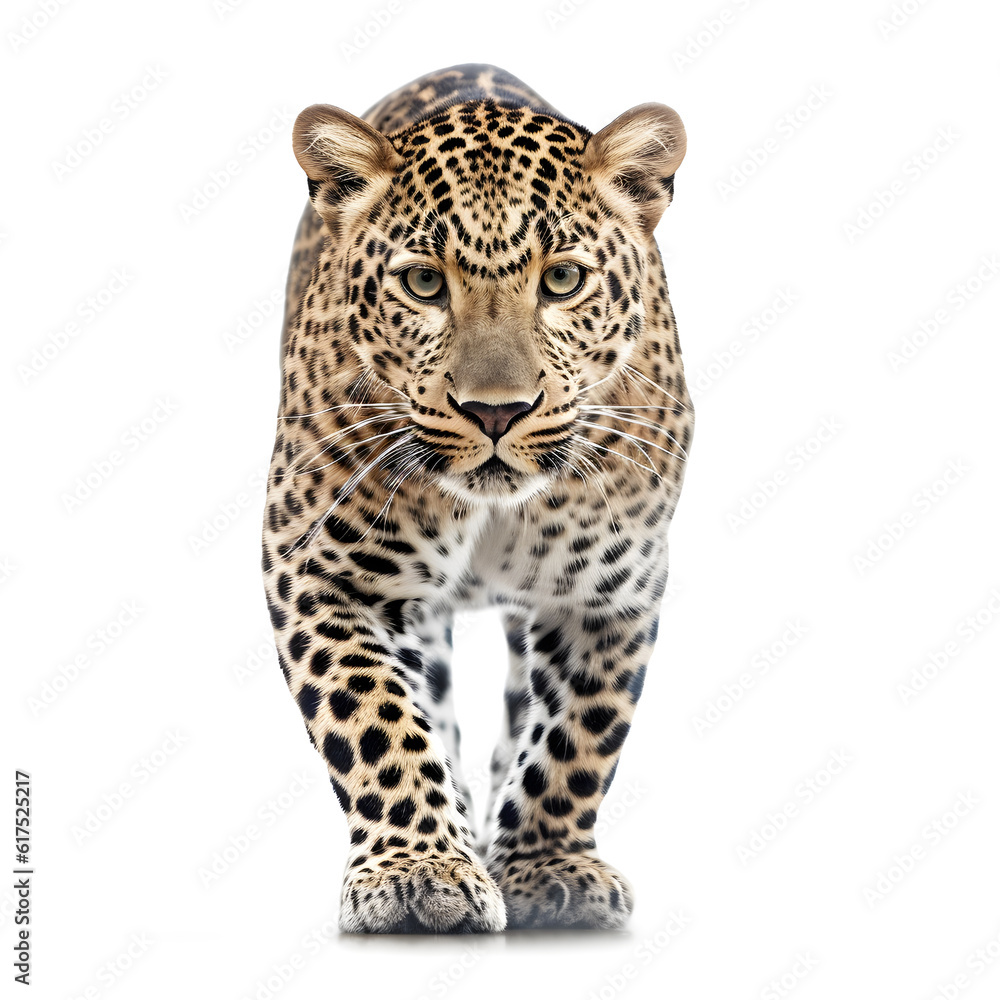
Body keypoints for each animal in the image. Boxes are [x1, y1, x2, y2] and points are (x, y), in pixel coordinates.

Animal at [261, 63, 692, 933]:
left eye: (562, 279)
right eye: (424, 283)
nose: (497, 411)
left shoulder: (611, 592)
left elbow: (576, 735)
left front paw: (548, 868)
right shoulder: (322, 572)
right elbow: (377, 721)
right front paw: (419, 871)